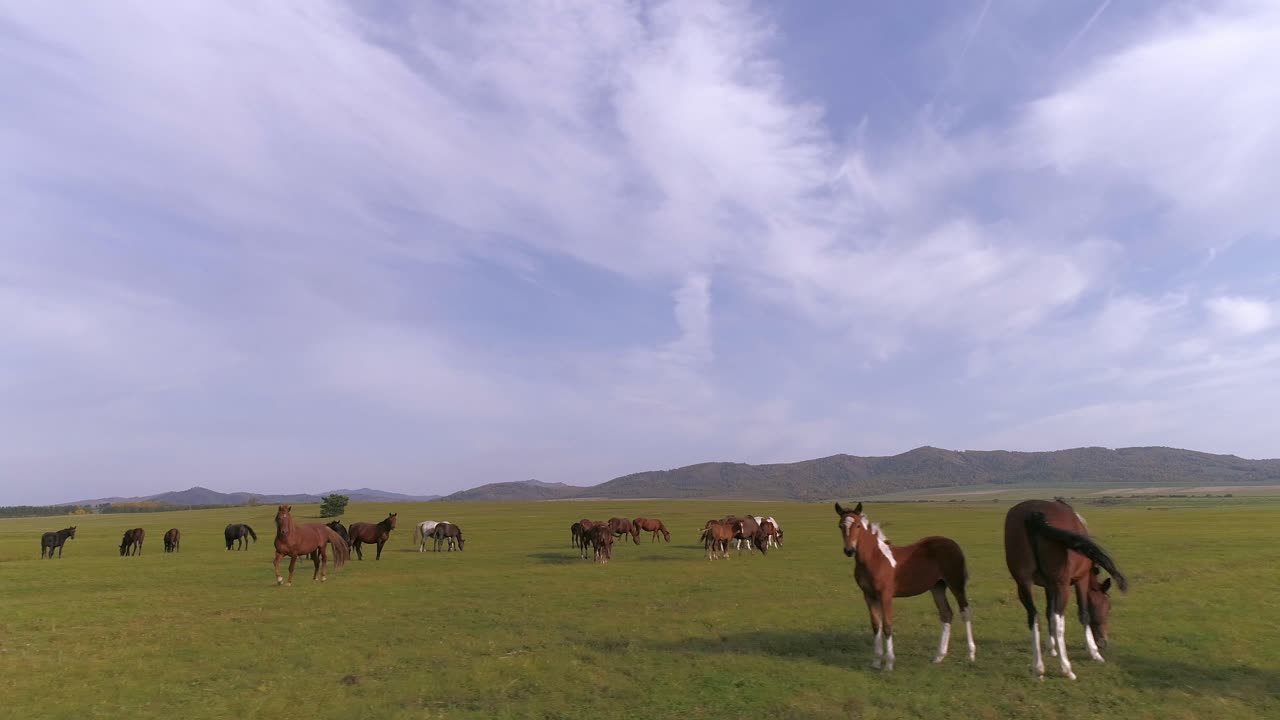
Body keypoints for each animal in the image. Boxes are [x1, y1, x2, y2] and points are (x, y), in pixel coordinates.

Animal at [835, 502, 976, 671]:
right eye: (840, 526)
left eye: (857, 525)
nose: (849, 550)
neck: (875, 558)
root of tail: (953, 543)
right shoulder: (868, 596)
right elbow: (876, 626)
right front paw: (876, 661)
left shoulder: (886, 595)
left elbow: (887, 626)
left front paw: (889, 663)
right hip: (937, 587)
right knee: (946, 613)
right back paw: (939, 656)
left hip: (956, 583)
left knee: (965, 611)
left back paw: (970, 655)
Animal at [1004, 498, 1129, 680]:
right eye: (1108, 607)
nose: (1103, 643)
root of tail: (1033, 513)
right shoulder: (1080, 581)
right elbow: (1083, 614)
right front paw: (1094, 652)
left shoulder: (1049, 586)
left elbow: (1048, 611)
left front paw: (1051, 647)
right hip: (1063, 587)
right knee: (1058, 619)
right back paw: (1066, 668)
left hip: (1023, 584)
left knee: (1034, 616)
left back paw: (1038, 667)